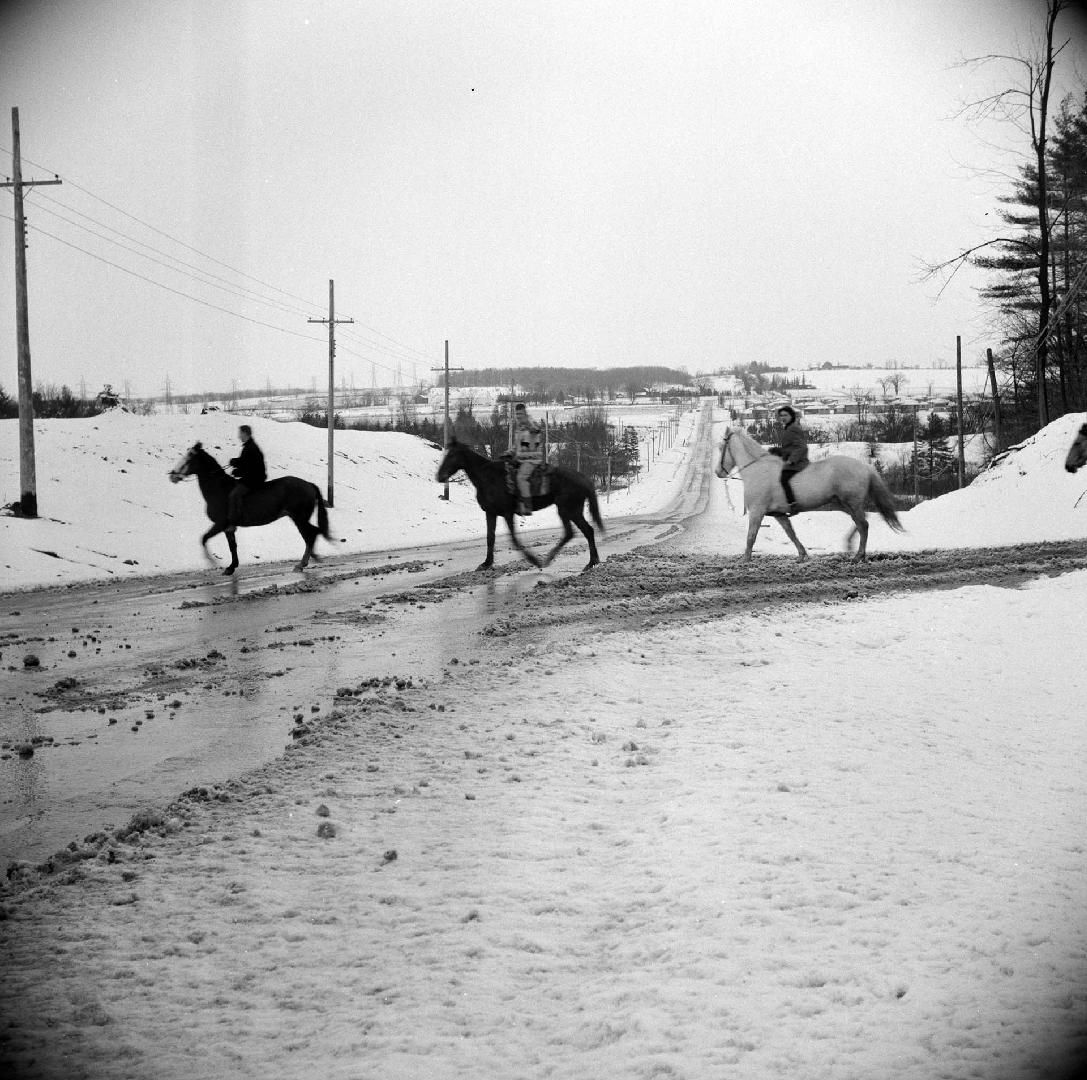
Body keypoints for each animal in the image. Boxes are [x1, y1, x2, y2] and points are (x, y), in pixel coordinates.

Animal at [167, 438, 328, 573]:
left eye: (188, 459)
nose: (172, 475)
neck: (219, 489)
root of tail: (309, 485)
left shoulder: (220, 524)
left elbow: (204, 538)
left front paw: (212, 562)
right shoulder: (229, 528)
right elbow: (232, 547)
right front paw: (231, 567)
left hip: (299, 518)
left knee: (311, 535)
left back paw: (302, 564)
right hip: (299, 518)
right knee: (312, 534)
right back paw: (310, 559)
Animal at [432, 438, 604, 573]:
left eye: (452, 455)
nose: (439, 476)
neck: (488, 478)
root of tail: (582, 478)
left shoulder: (508, 513)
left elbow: (514, 540)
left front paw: (534, 560)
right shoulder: (490, 513)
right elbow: (490, 538)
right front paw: (486, 563)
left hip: (568, 510)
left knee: (580, 531)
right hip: (569, 510)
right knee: (578, 532)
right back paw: (588, 561)